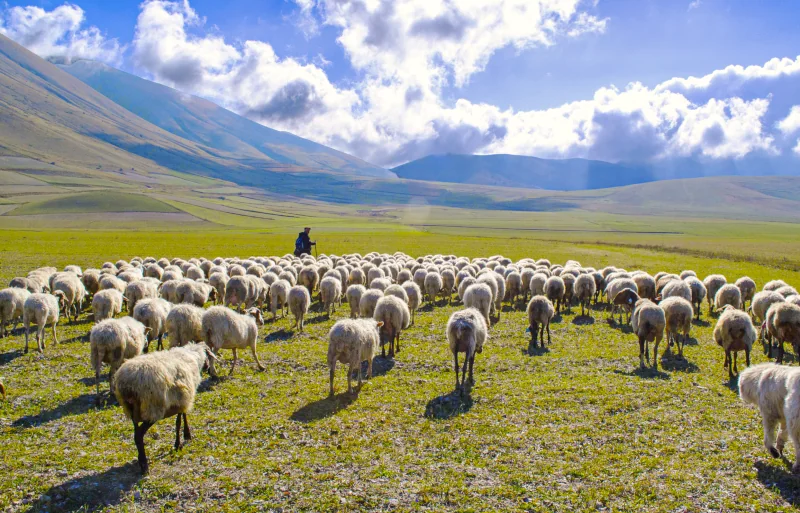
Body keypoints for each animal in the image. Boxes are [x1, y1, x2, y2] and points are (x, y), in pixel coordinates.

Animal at [114, 342, 215, 474]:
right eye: (209, 356)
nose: (208, 369)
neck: (193, 357)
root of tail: (127, 385)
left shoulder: (180, 399)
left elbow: (181, 418)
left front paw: (185, 436)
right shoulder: (183, 399)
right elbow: (179, 421)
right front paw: (180, 442)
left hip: (133, 411)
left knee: (136, 434)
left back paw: (140, 459)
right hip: (152, 409)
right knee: (139, 435)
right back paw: (144, 465)